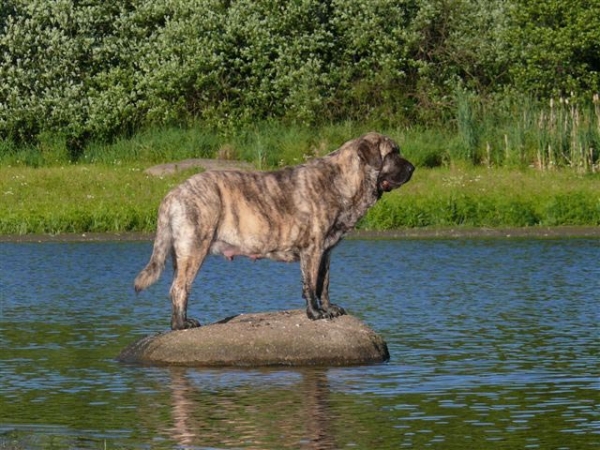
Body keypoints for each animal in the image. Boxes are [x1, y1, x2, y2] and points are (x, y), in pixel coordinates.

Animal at [134, 132, 412, 328]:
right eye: (392, 153)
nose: (412, 168)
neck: (342, 180)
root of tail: (172, 193)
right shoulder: (312, 249)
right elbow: (310, 284)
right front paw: (315, 313)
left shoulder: (326, 251)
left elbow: (323, 283)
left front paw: (329, 308)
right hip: (194, 249)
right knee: (179, 288)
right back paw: (182, 324)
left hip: (180, 254)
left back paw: (178, 323)